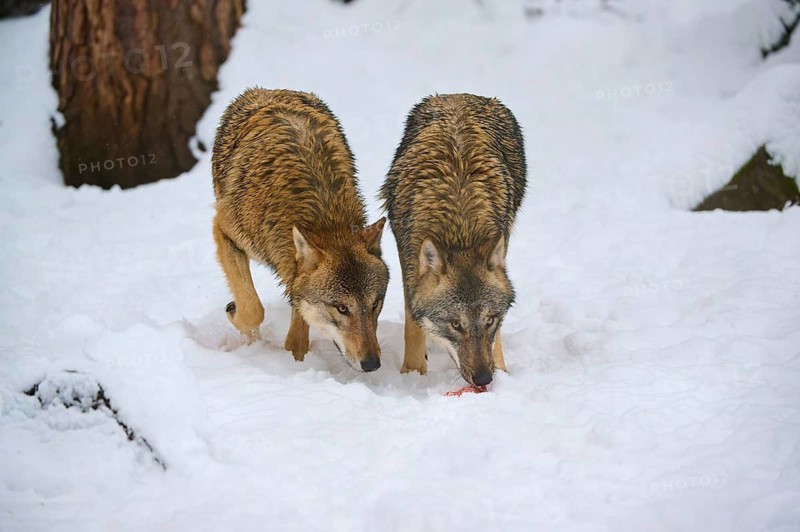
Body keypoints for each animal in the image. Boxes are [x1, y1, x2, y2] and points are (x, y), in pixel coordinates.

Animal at [212, 88, 389, 372]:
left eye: (375, 304)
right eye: (342, 308)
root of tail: (267, 90)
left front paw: (295, 360)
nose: (372, 364)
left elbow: (296, 336)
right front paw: (236, 316)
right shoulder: (225, 231)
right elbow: (253, 310)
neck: (325, 217)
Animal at [380, 93, 527, 386]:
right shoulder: (408, 260)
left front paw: (502, 370)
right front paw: (413, 374)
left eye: (490, 320)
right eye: (456, 324)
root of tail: (461, 95)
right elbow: (413, 323)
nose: (483, 379)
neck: (460, 228)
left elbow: (497, 336)